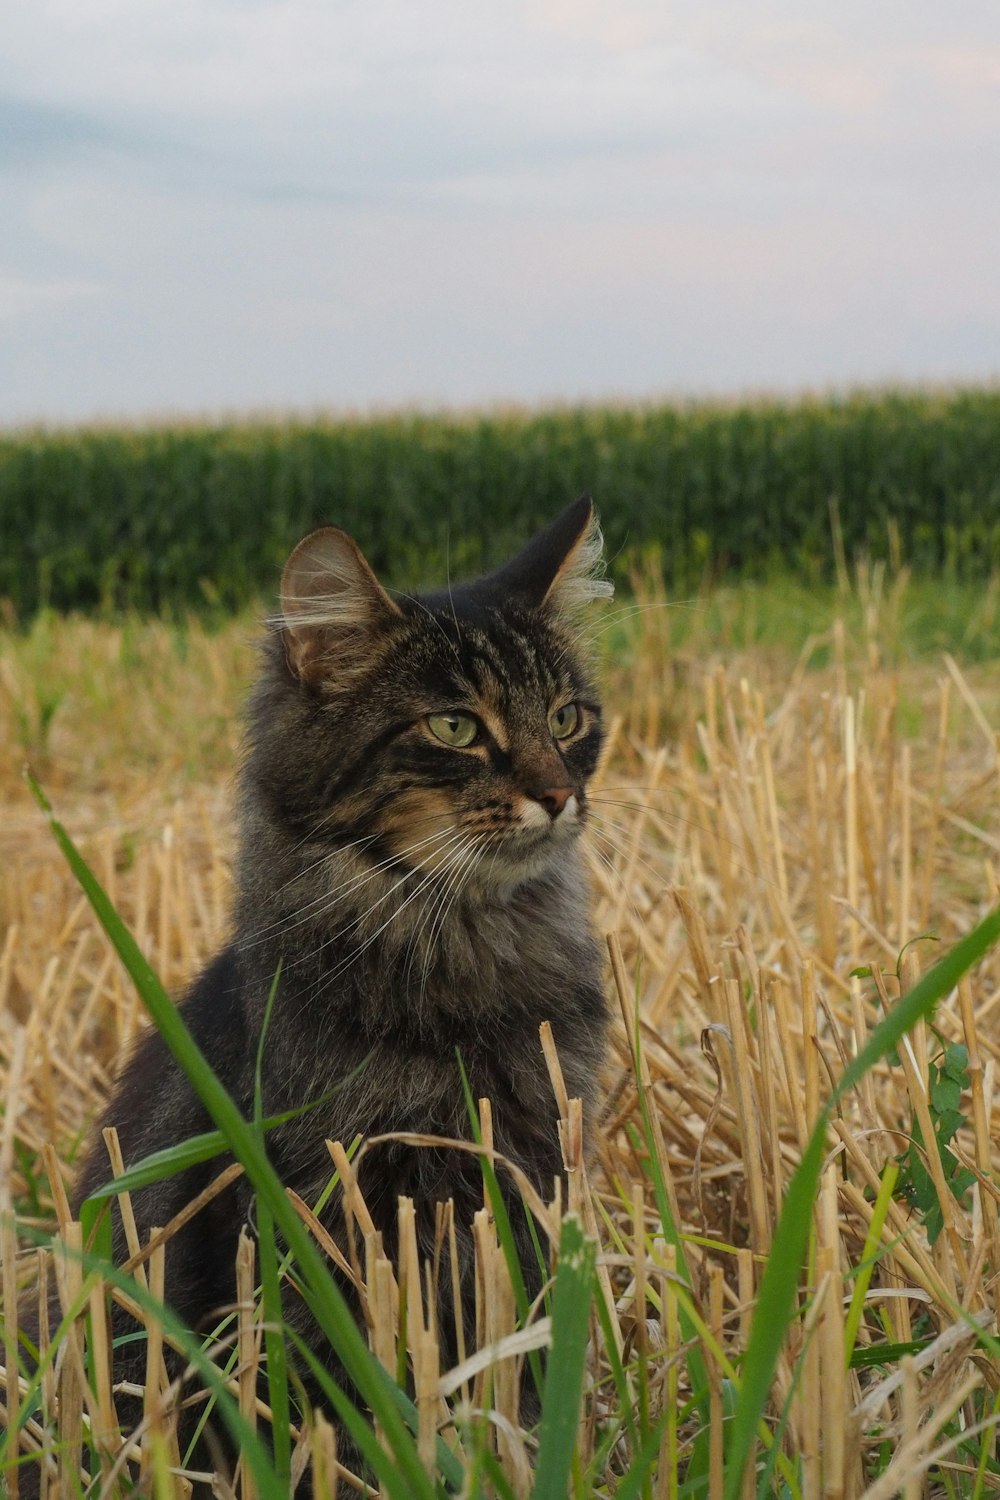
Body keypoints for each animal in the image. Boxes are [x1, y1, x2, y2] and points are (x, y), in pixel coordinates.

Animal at [15, 492, 614, 1488]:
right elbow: (333, 1400)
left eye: (568, 718)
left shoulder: (530, 1183)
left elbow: (516, 1382)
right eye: (455, 728)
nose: (560, 793)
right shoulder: (318, 1215)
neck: (463, 944)